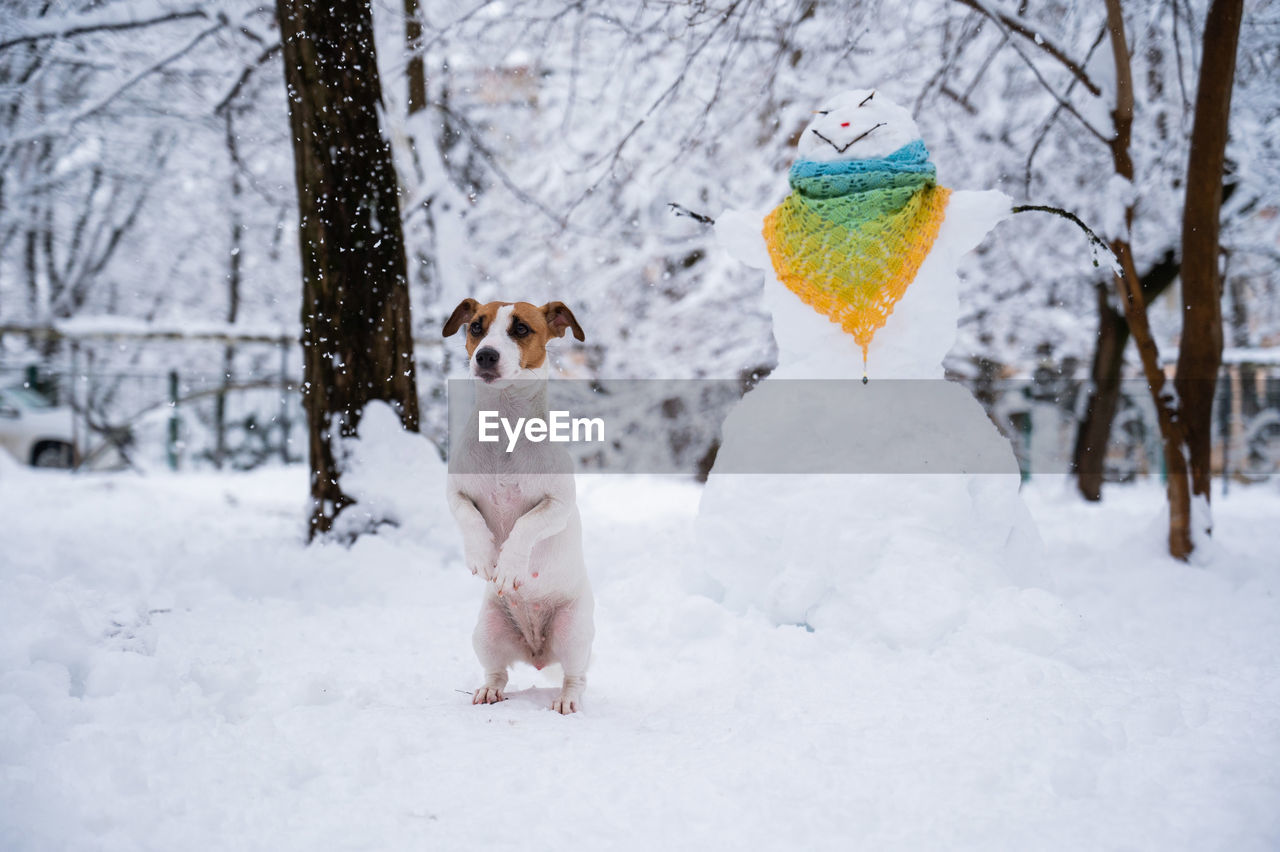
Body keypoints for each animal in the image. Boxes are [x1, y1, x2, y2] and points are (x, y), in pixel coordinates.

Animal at [445, 296, 593, 711]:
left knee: (577, 676)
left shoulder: (558, 504)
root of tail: (537, 651)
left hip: (575, 632)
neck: (503, 427)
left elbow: (527, 524)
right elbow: (468, 515)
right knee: (499, 672)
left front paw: (509, 565)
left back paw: (567, 700)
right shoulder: (454, 491)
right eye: (476, 327)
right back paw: (489, 691)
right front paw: (483, 556)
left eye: (521, 328)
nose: (485, 355)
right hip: (487, 631)